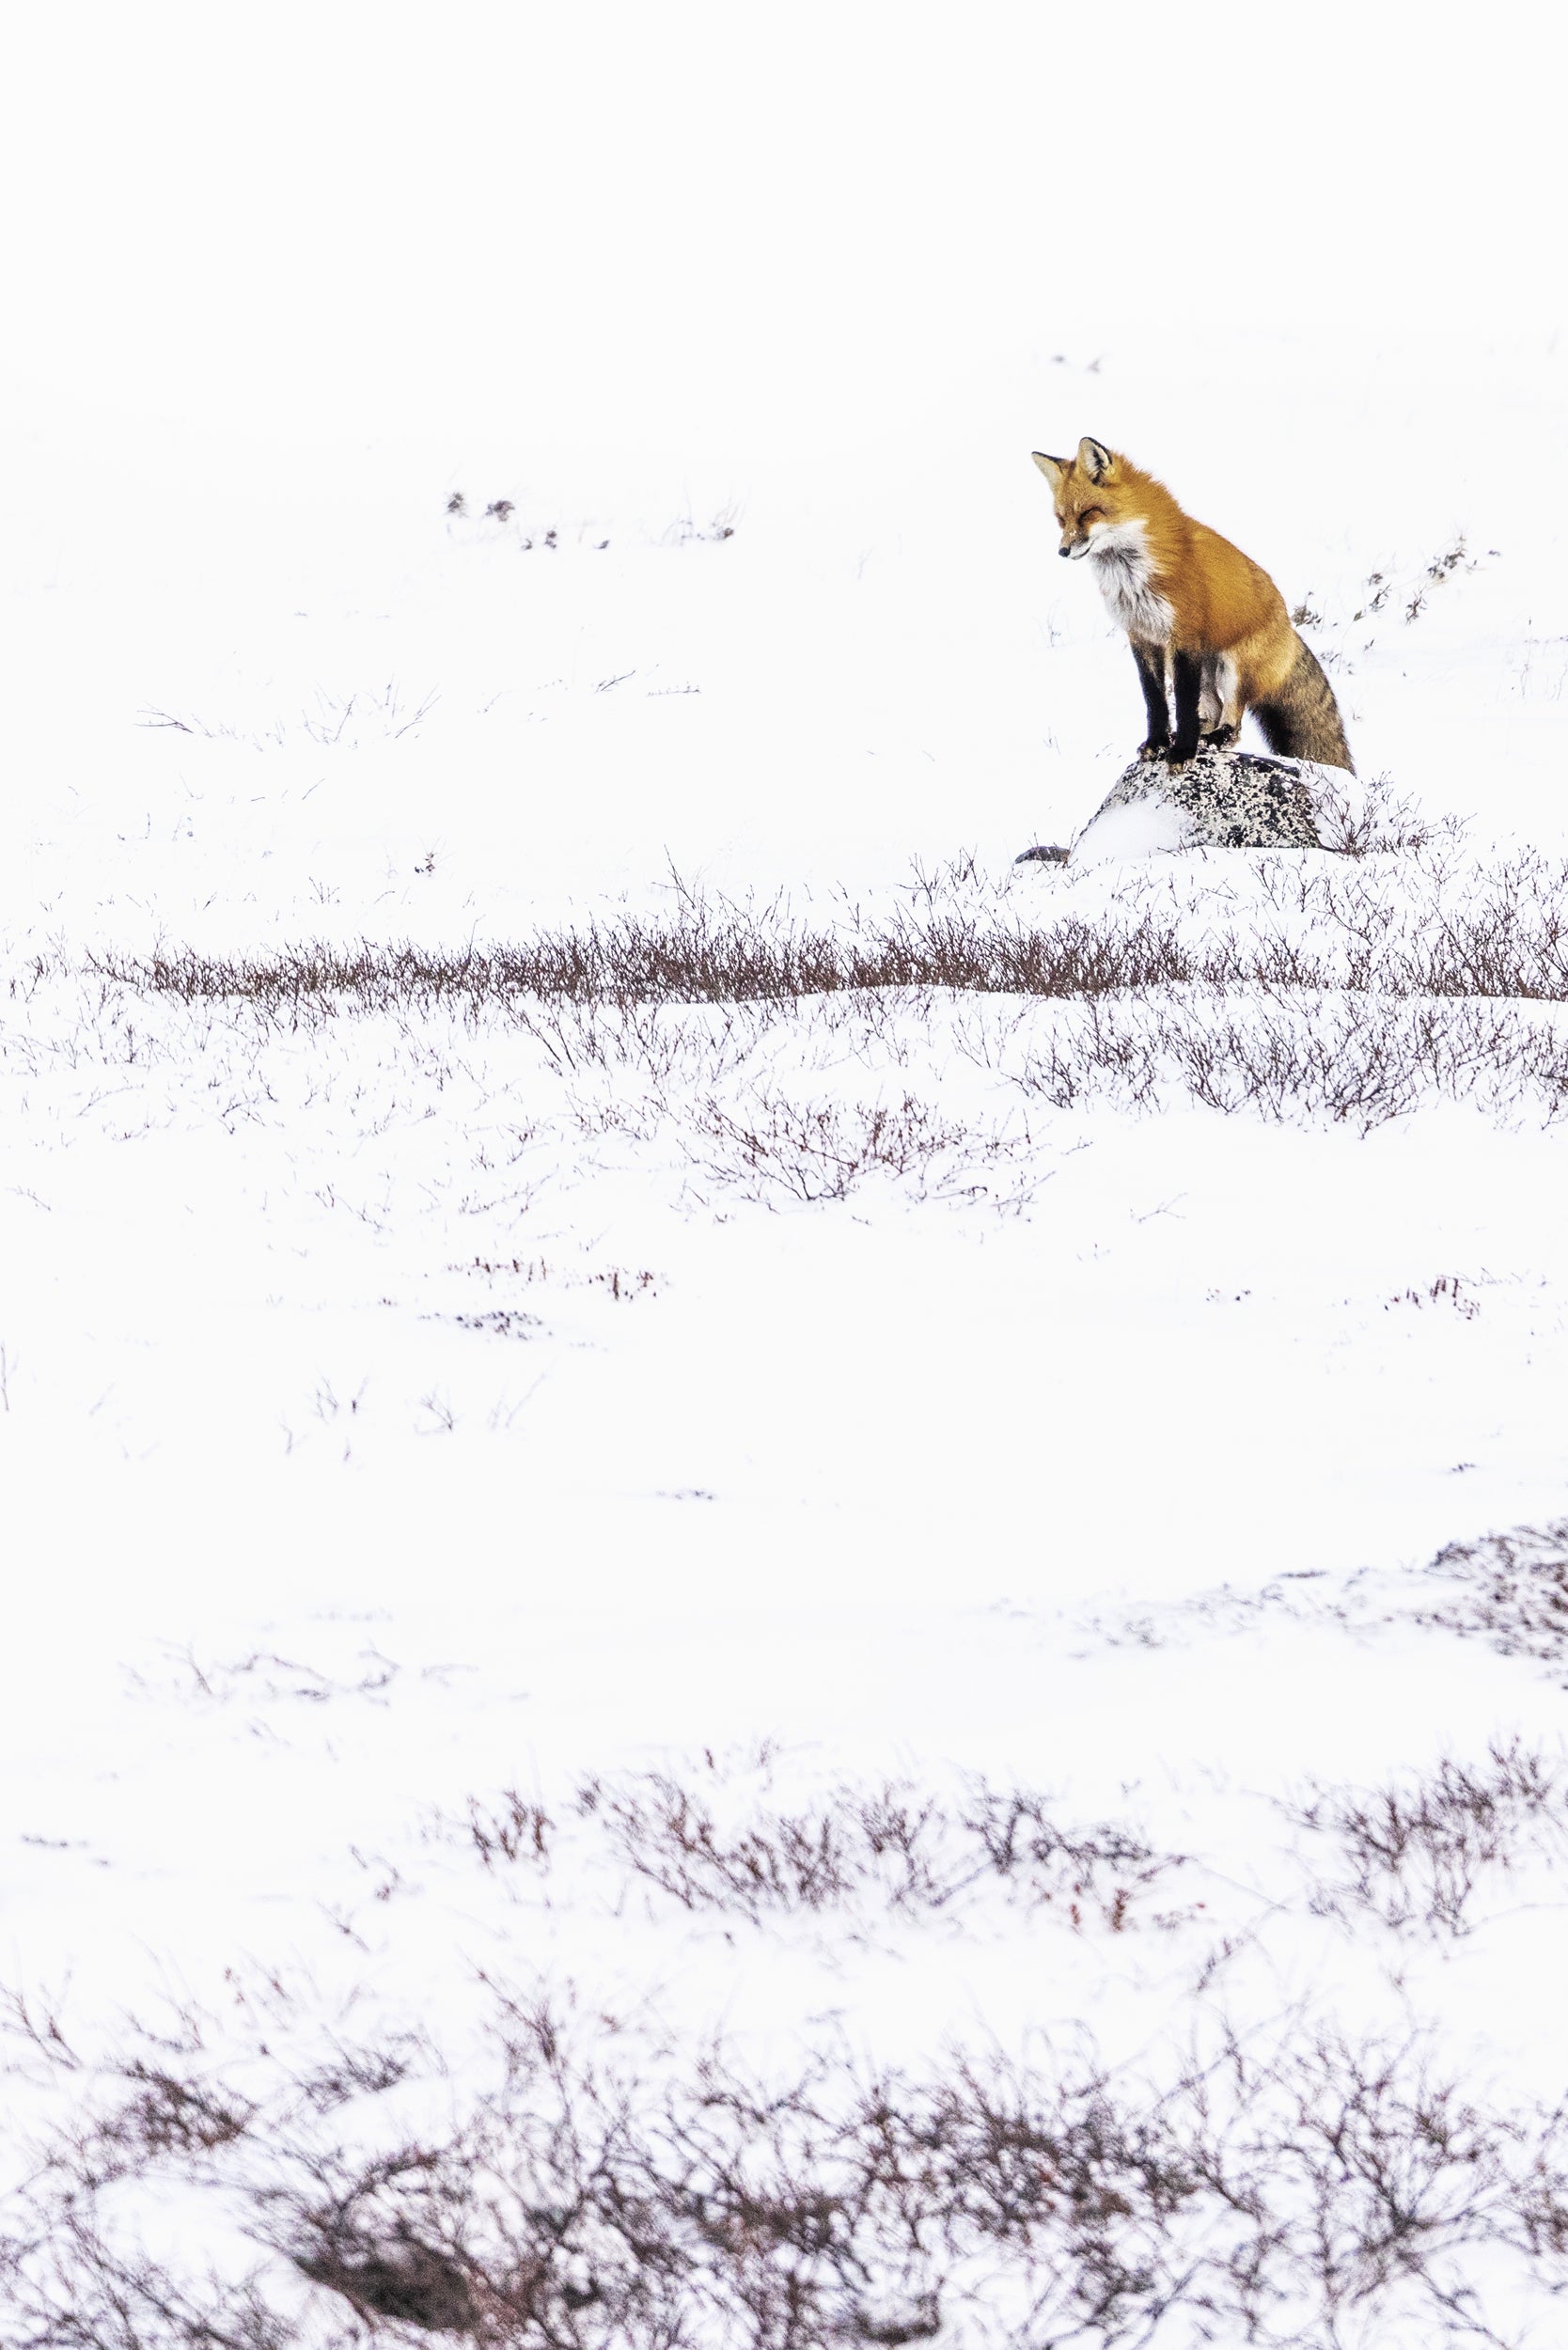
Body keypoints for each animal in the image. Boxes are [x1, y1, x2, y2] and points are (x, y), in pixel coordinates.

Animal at [1031, 437, 1353, 772]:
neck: (1130, 573)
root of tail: (1290, 628)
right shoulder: (1141, 636)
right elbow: (1155, 700)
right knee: (1214, 710)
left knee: (1233, 723)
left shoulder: (1183, 636)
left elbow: (1184, 704)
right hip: (1206, 667)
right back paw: (1202, 736)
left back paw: (1212, 739)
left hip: (1232, 668)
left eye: (1087, 513)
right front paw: (1158, 743)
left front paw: (1182, 752)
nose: (1063, 551)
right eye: (1061, 520)